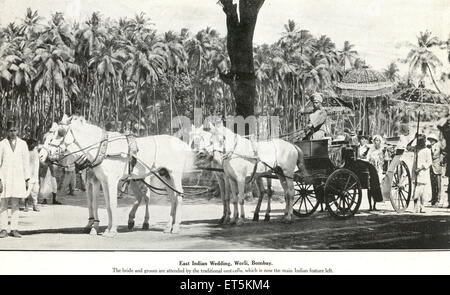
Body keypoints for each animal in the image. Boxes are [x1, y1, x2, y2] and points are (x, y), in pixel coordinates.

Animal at [38, 115, 193, 236]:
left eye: (60, 133)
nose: (41, 155)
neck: (102, 149)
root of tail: (182, 144)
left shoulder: (110, 181)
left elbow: (112, 204)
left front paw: (111, 230)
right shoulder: (103, 181)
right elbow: (106, 204)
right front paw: (106, 228)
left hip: (173, 175)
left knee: (177, 197)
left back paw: (175, 227)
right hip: (164, 175)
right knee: (171, 198)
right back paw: (167, 227)